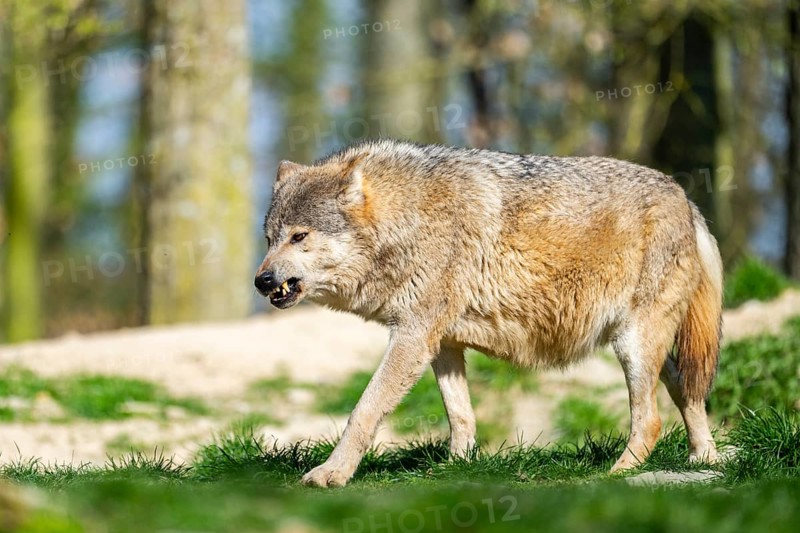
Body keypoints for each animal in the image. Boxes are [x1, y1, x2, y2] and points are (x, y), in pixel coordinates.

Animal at [255, 139, 722, 488]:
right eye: (269, 239)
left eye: (299, 237)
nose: (261, 280)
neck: (410, 218)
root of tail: (685, 197)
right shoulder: (440, 343)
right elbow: (460, 415)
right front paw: (455, 467)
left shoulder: (412, 335)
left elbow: (364, 409)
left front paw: (332, 473)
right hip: (649, 351)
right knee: (689, 391)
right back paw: (707, 460)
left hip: (633, 346)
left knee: (651, 420)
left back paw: (618, 474)